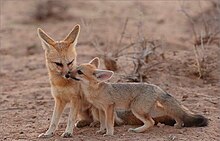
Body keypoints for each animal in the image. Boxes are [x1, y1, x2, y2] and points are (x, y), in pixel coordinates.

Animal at [70, 57, 208, 135]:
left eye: (79, 72)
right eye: (75, 69)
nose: (68, 73)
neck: (95, 91)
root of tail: (156, 87)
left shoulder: (109, 107)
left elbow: (109, 123)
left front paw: (108, 134)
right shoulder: (100, 109)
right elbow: (103, 122)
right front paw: (101, 131)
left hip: (136, 110)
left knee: (152, 122)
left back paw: (137, 130)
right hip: (150, 110)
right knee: (174, 112)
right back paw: (178, 124)